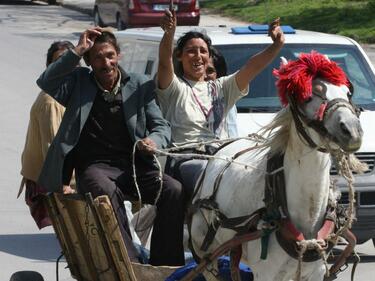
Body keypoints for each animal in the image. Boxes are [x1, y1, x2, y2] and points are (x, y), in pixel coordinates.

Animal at [189, 51, 366, 278]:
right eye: (308, 96)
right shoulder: (266, 274)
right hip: (206, 254)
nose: (352, 130)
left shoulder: (315, 271)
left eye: (348, 93)